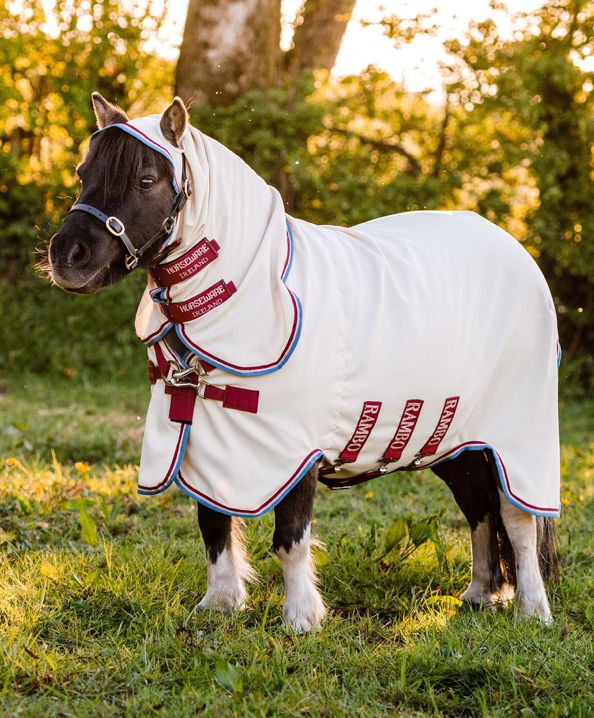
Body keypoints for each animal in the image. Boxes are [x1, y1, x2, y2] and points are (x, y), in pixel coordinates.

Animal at [47, 93, 560, 632]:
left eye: (146, 180)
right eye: (83, 173)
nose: (67, 256)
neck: (248, 294)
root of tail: (513, 248)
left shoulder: (296, 452)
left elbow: (290, 537)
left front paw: (301, 618)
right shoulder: (205, 445)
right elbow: (213, 523)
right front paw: (220, 604)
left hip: (516, 439)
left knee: (518, 518)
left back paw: (533, 609)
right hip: (452, 439)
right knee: (479, 506)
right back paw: (481, 593)